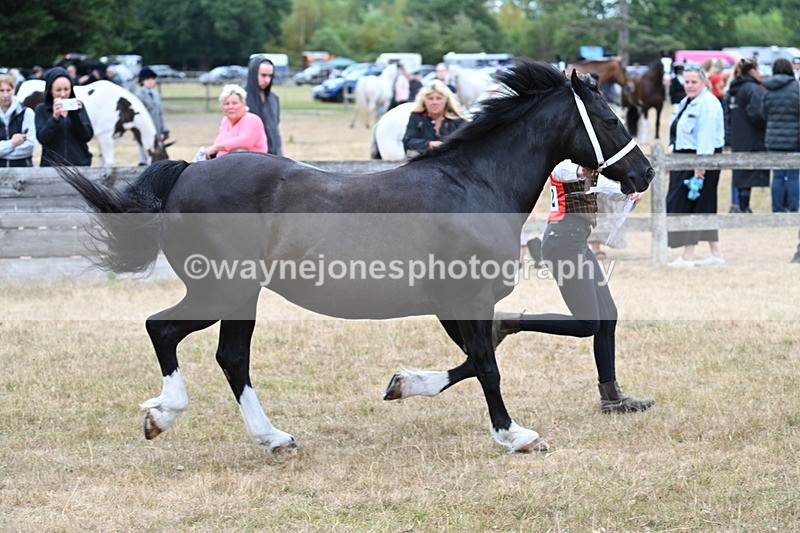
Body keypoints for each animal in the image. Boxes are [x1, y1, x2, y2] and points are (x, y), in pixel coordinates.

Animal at [57, 61, 654, 454]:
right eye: (609, 120)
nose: (644, 173)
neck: (474, 185)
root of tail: (186, 174)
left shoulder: (452, 303)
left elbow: (477, 356)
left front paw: (402, 384)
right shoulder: (469, 295)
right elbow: (487, 364)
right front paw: (515, 435)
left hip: (235, 295)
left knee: (222, 354)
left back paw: (264, 436)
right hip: (225, 288)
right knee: (173, 333)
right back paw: (177, 418)